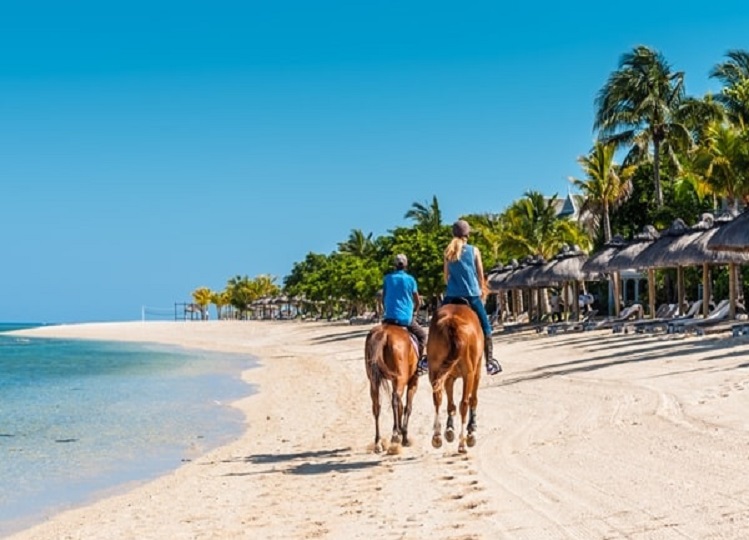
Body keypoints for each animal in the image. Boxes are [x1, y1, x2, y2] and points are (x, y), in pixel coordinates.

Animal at [364, 322, 418, 454]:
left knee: (377, 407)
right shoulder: (413, 381)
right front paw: (404, 436)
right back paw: (395, 435)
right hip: (400, 378)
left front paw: (401, 431)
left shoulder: (395, 381)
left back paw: (378, 442)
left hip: (374, 381)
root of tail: (384, 333)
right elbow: (407, 407)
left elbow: (401, 407)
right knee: (394, 401)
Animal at [424, 304, 482, 452]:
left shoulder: (448, 377)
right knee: (464, 403)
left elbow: (450, 405)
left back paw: (437, 437)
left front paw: (449, 430)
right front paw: (472, 429)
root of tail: (452, 322)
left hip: (435, 371)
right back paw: (462, 443)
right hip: (469, 374)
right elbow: (473, 399)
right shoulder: (476, 372)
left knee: (437, 399)